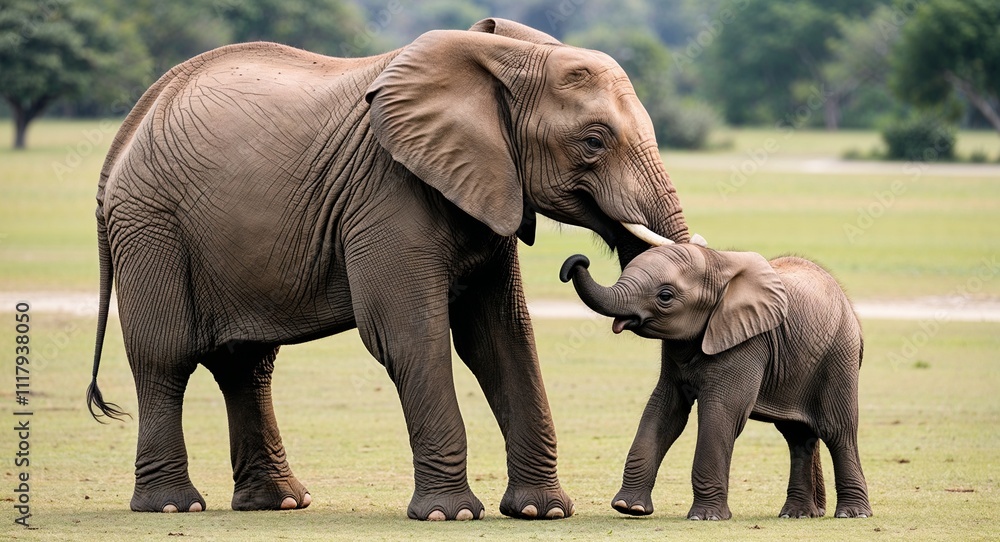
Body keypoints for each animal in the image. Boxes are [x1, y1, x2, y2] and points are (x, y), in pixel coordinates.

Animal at [86, 18, 696, 520]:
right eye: (593, 142)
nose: (576, 262)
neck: (504, 57)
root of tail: (129, 128)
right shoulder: (387, 190)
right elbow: (408, 335)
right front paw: (451, 515)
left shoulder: (485, 186)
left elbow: (501, 338)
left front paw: (539, 512)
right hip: (149, 224)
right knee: (165, 356)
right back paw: (171, 506)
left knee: (246, 365)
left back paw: (279, 503)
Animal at [559, 244, 871, 520]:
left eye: (665, 296)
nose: (577, 261)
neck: (717, 262)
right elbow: (664, 410)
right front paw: (629, 508)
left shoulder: (747, 341)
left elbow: (721, 412)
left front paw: (705, 517)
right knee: (797, 436)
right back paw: (796, 514)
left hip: (838, 356)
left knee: (837, 430)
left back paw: (852, 514)